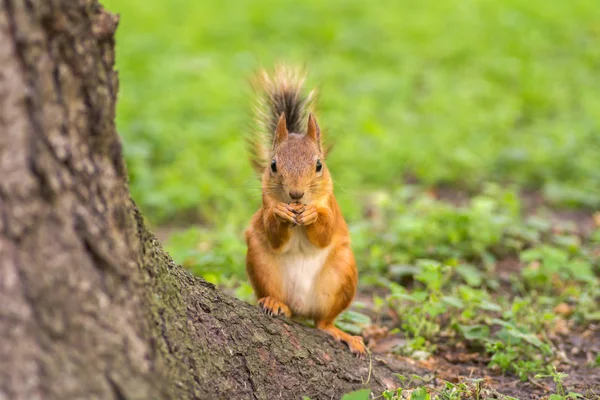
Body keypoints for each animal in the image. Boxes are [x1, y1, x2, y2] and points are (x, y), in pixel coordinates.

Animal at [244, 65, 366, 356]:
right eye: (273, 165)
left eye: (319, 165)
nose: (296, 194)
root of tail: (300, 306)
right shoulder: (265, 203)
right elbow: (274, 233)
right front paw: (281, 214)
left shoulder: (330, 205)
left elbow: (325, 231)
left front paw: (312, 216)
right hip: (261, 266)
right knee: (284, 305)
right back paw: (275, 304)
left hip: (342, 274)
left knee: (323, 322)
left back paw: (342, 334)